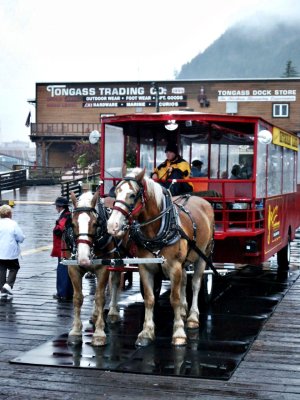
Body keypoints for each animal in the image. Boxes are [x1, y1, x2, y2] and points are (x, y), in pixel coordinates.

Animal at [66, 191, 122, 346]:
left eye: (95, 224)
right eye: (72, 224)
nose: (83, 258)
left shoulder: (103, 268)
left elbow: (100, 297)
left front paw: (99, 333)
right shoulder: (73, 268)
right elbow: (77, 298)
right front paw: (75, 331)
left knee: (114, 282)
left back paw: (113, 312)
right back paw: (96, 314)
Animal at [106, 167, 214, 346]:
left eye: (132, 195)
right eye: (116, 193)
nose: (112, 225)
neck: (156, 230)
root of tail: (201, 200)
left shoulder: (174, 267)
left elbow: (174, 299)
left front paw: (178, 333)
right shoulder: (146, 267)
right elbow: (149, 299)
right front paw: (146, 332)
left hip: (202, 256)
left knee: (196, 284)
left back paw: (192, 317)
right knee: (185, 280)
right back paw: (184, 310)